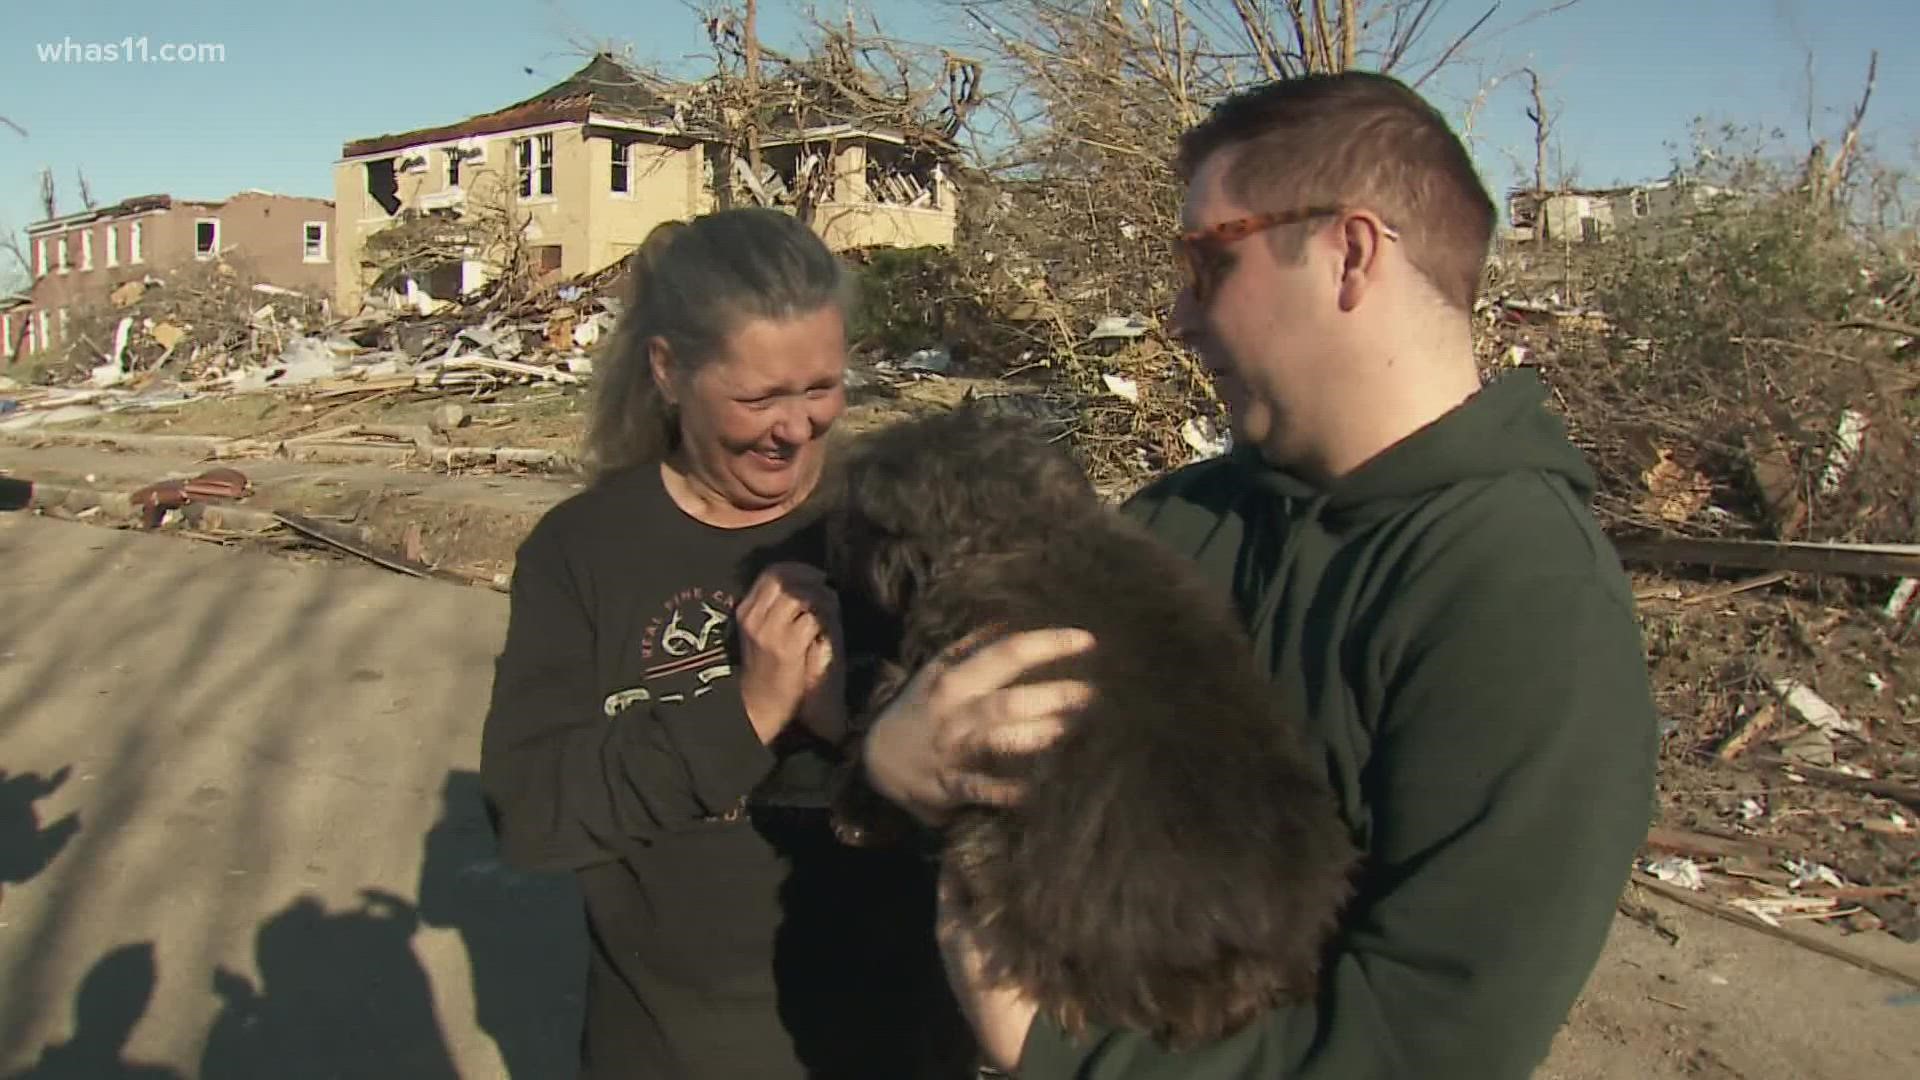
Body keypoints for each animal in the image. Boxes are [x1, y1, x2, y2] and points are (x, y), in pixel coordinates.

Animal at [817, 403, 1359, 1045]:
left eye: (856, 519)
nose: (829, 540)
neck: (1023, 527)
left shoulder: (932, 664)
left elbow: (877, 712)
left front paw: (856, 813)